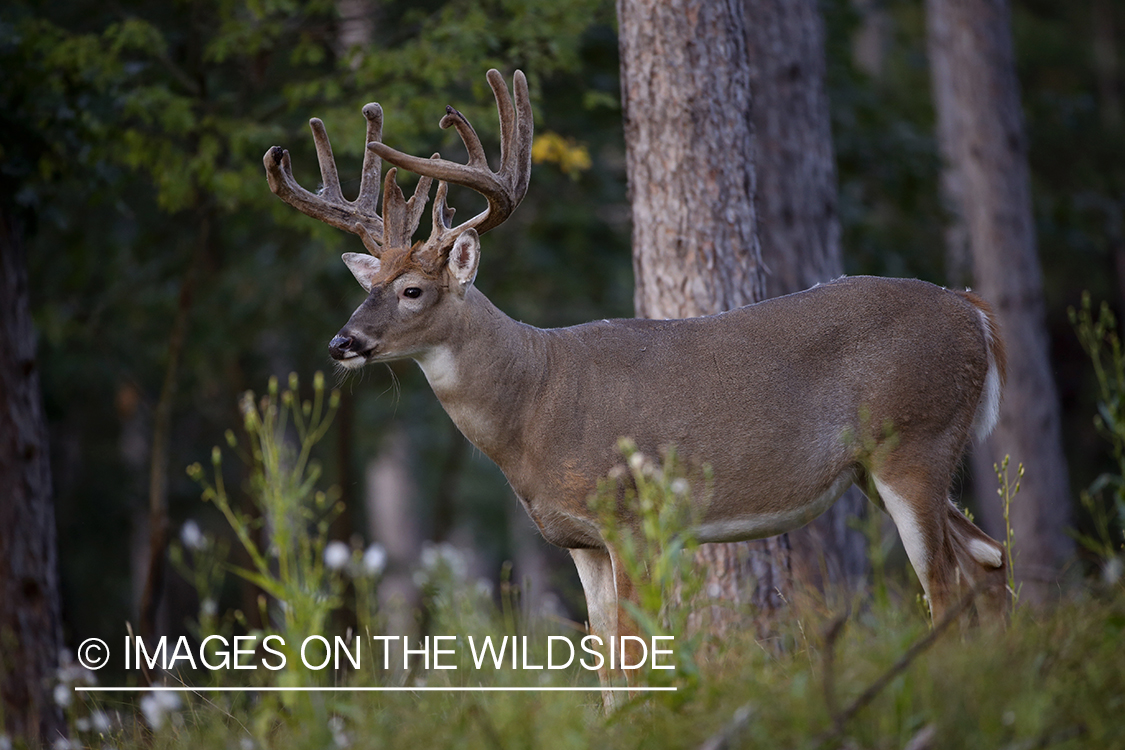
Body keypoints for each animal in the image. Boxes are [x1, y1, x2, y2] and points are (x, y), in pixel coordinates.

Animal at [265, 67, 1012, 701]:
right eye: (367, 287)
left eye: (413, 290)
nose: (341, 343)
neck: (536, 400)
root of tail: (975, 313)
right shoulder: (580, 541)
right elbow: (602, 663)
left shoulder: (630, 514)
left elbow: (631, 652)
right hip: (878, 465)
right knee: (989, 558)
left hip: (915, 438)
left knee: (945, 583)